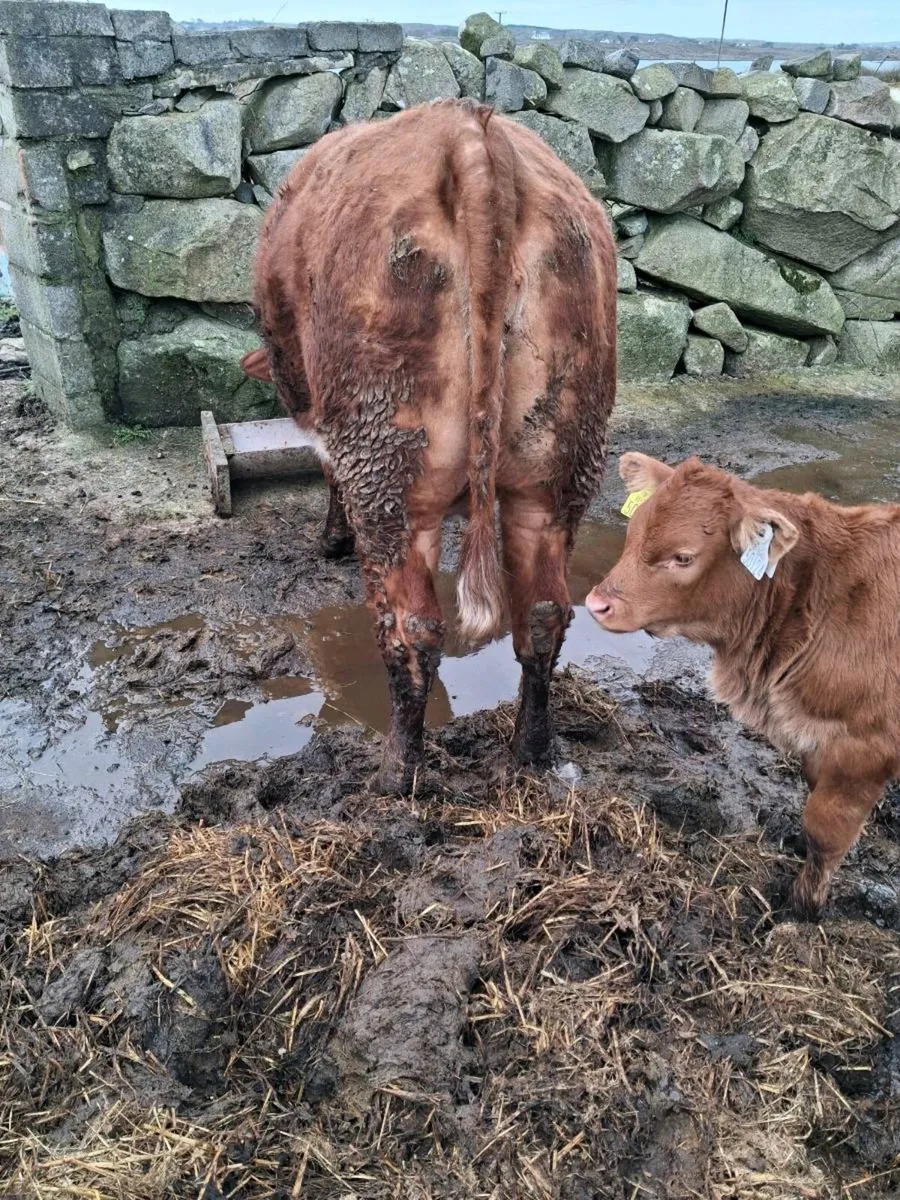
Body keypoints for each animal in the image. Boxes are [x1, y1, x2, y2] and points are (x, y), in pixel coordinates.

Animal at [240, 99, 617, 794]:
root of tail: (472, 133)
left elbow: (325, 469)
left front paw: (331, 538)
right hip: (557, 469)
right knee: (543, 614)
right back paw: (528, 753)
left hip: (391, 466)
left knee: (412, 628)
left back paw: (398, 772)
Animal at [586, 451, 900, 919]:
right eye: (633, 531)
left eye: (683, 557)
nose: (595, 603)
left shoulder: (865, 747)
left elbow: (825, 828)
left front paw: (804, 906)